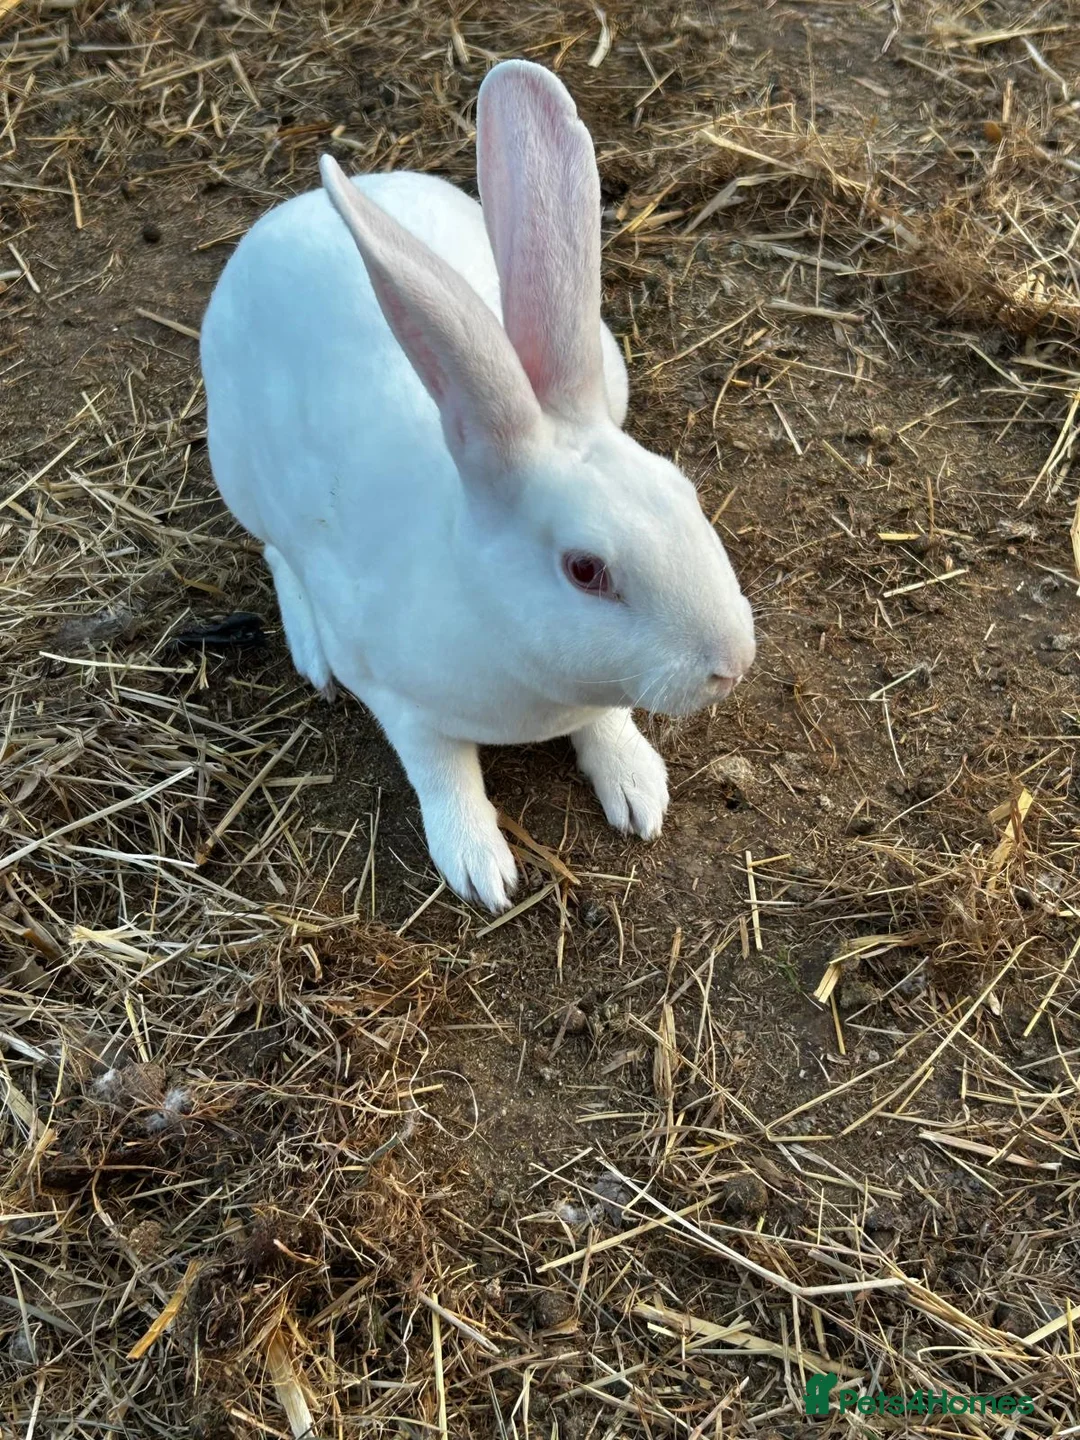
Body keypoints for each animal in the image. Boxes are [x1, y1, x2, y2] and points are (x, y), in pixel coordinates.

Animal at [200, 58, 755, 914]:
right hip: (238, 469)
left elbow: (606, 724)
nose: (733, 663)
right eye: (585, 571)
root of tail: (290, 214)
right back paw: (309, 651)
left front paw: (638, 790)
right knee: (275, 553)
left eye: (685, 491)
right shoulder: (403, 707)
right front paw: (480, 867)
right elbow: (443, 772)